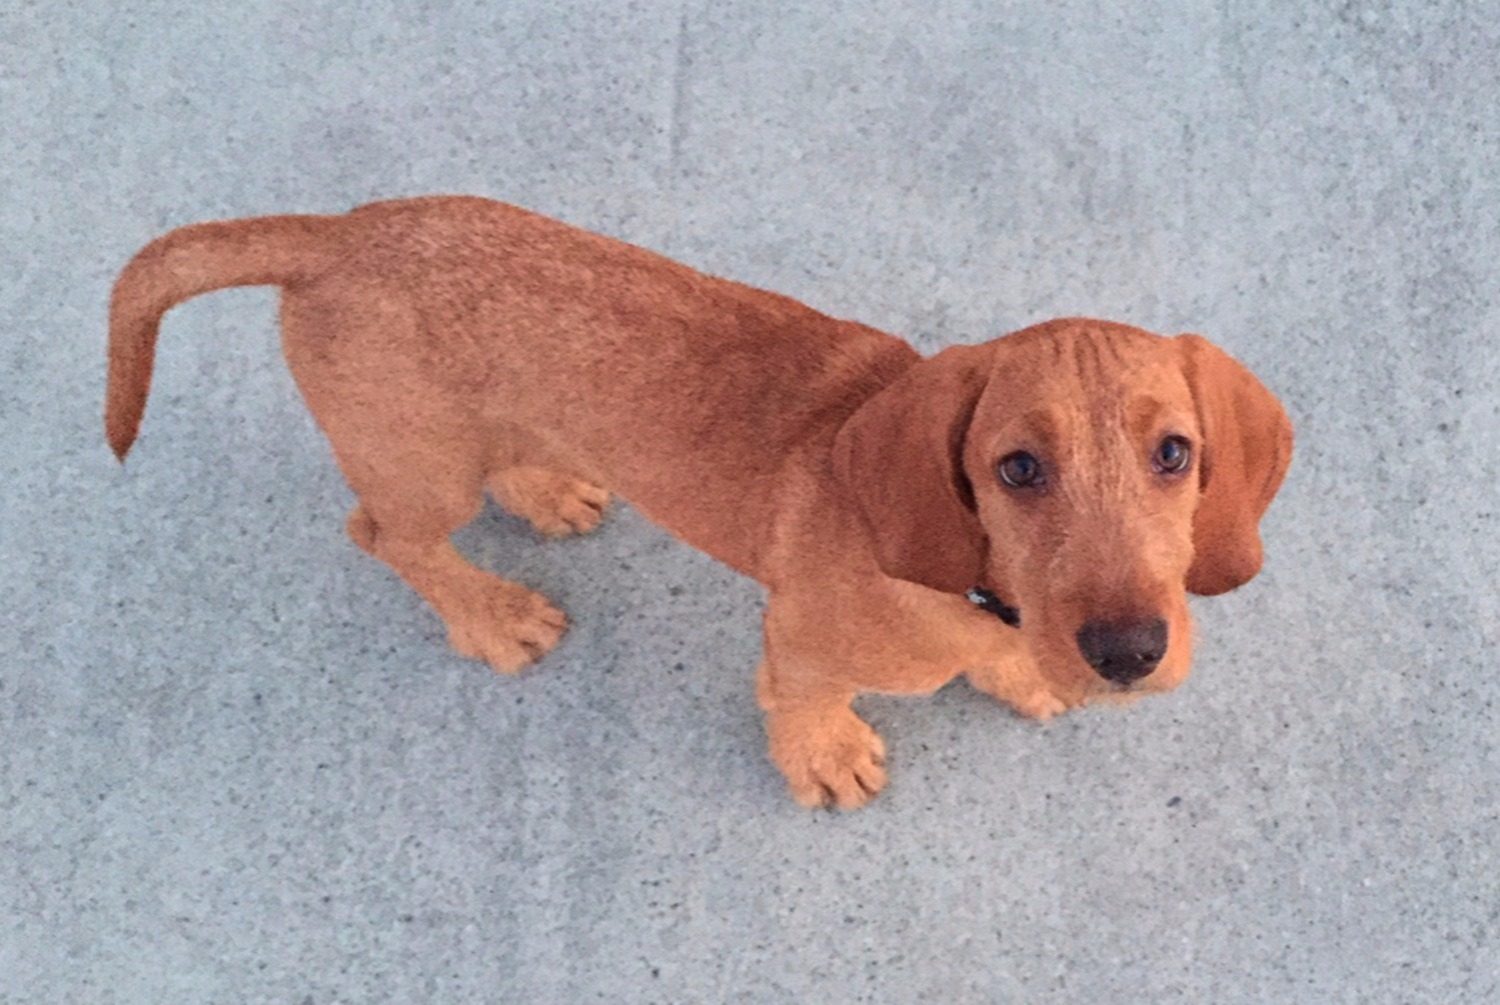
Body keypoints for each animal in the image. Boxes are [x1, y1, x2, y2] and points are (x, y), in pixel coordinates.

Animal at [108, 196, 1290, 810]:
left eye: (1175, 453)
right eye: (1018, 469)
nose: (1128, 653)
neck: (965, 583)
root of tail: (339, 230)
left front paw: (1017, 671)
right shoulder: (799, 642)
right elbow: (805, 705)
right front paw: (828, 756)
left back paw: (545, 486)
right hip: (418, 468)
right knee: (384, 532)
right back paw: (491, 613)